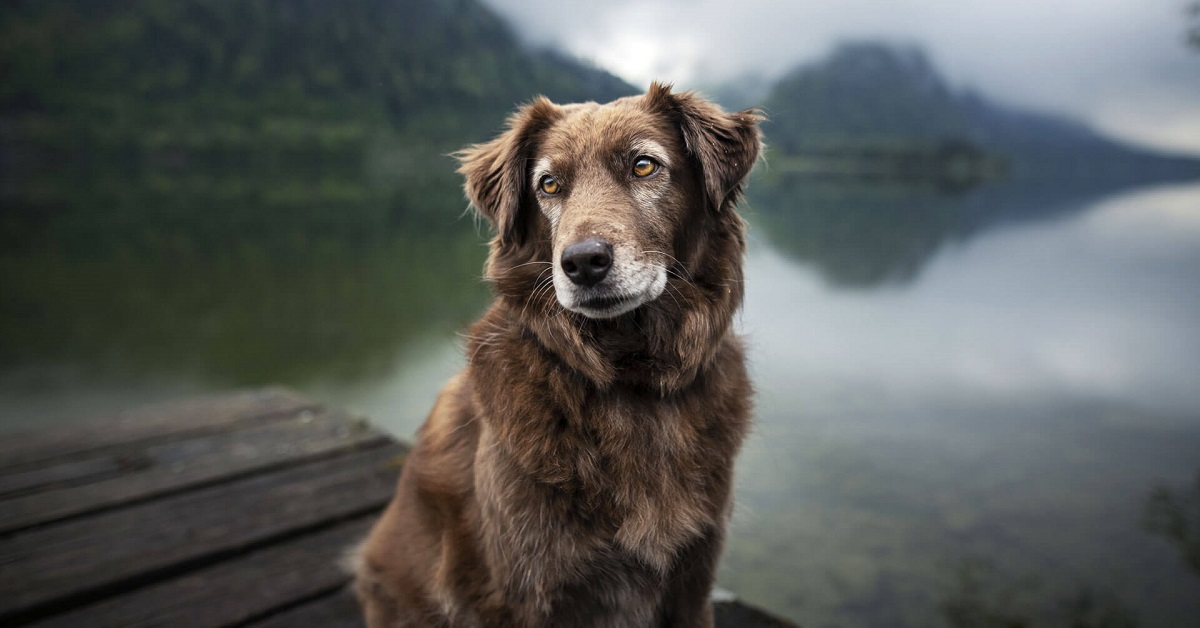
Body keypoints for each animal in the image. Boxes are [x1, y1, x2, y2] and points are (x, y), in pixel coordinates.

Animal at [352, 84, 758, 628]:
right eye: (548, 184)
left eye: (644, 166)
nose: (583, 262)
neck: (628, 377)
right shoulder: (528, 587)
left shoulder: (693, 580)